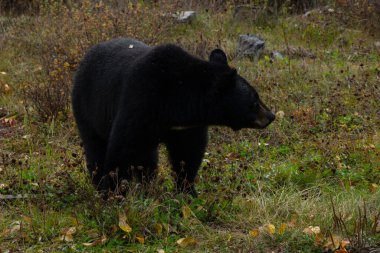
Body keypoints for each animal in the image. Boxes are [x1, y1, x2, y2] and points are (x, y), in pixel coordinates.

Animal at [71, 37, 274, 196]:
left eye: (256, 96)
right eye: (254, 101)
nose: (271, 115)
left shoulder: (186, 126)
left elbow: (189, 152)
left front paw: (187, 191)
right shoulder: (140, 101)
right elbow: (122, 149)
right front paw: (114, 192)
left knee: (148, 158)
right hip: (87, 108)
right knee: (95, 148)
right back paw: (100, 182)